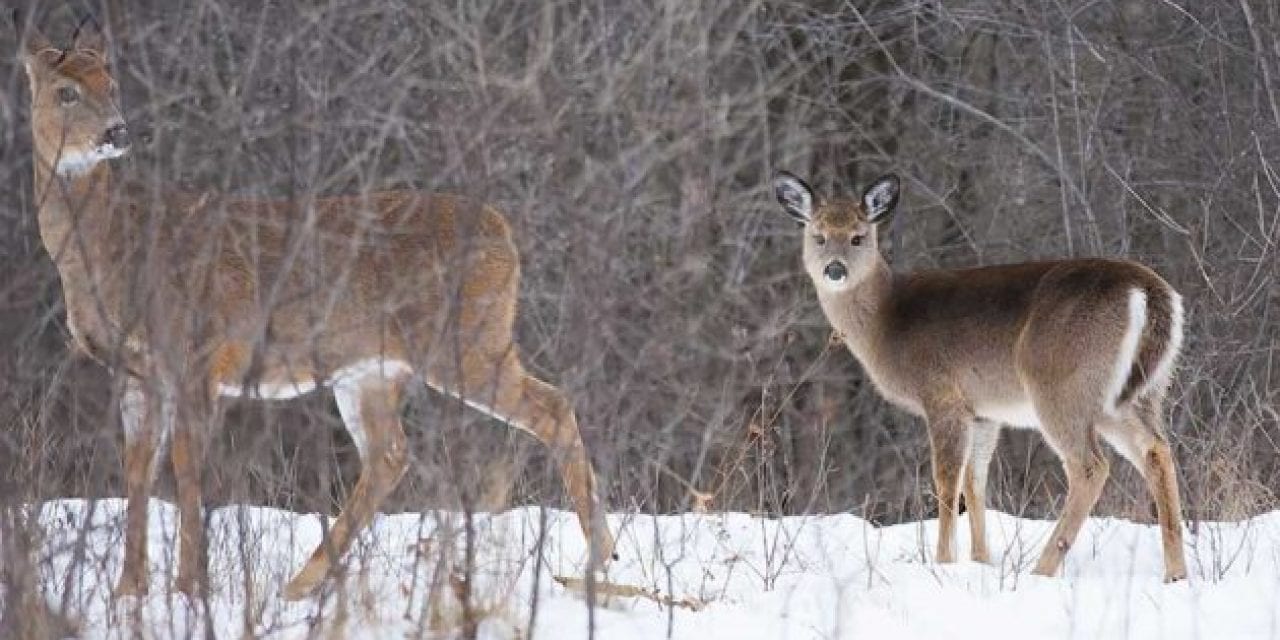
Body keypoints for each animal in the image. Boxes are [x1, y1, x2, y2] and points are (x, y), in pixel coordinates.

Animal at [17, 20, 616, 599]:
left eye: (111, 85)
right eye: (66, 91)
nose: (116, 132)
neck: (111, 246)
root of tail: (504, 232)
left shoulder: (197, 351)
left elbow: (187, 470)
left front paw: (189, 589)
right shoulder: (138, 370)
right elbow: (137, 469)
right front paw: (128, 591)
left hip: (467, 338)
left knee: (551, 406)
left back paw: (597, 560)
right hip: (372, 368)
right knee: (390, 454)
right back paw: (302, 584)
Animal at [768, 171, 1187, 586]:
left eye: (858, 236)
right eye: (818, 235)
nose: (834, 269)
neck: (886, 322)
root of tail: (1149, 292)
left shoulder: (942, 394)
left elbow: (947, 480)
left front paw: (943, 561)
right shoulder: (983, 410)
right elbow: (976, 481)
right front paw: (981, 560)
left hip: (1060, 384)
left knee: (1090, 466)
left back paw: (1042, 569)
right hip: (1138, 394)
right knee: (1156, 451)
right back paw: (1176, 572)